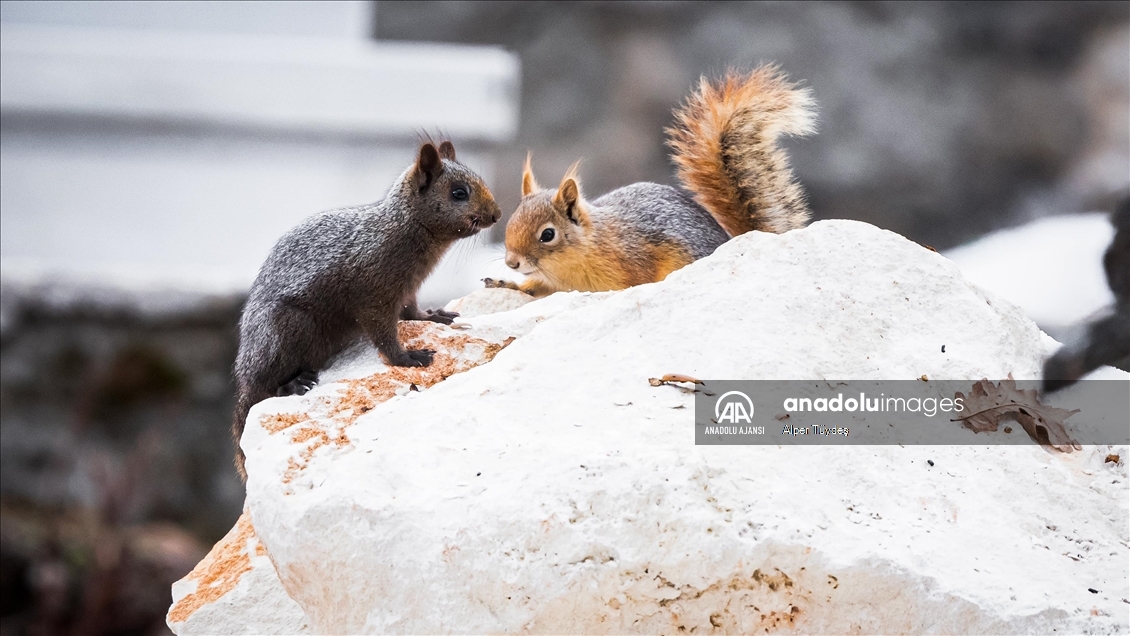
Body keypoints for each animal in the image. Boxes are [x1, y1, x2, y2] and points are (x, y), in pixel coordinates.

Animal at [232, 139, 499, 478]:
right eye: (459, 193)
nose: (497, 214)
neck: (403, 228)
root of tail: (244, 375)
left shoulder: (408, 288)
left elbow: (411, 311)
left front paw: (434, 316)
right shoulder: (374, 293)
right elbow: (383, 332)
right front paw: (407, 357)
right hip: (286, 331)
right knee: (265, 387)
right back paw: (292, 382)